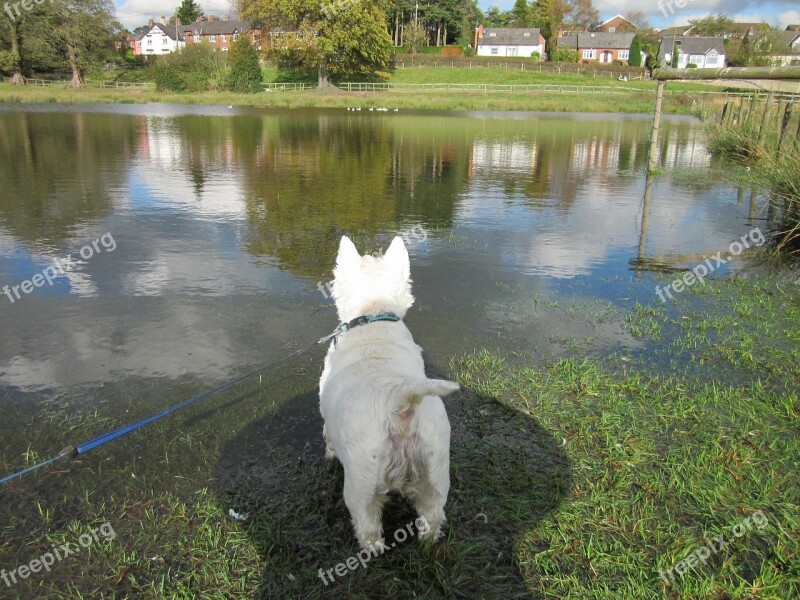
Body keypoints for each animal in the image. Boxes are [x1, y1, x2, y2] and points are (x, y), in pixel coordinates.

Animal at [318, 236, 460, 552]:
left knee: (368, 525)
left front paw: (329, 454)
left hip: (361, 483)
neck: (373, 319)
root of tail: (400, 404)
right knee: (432, 516)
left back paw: (371, 551)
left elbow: (326, 434)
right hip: (436, 472)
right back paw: (427, 544)